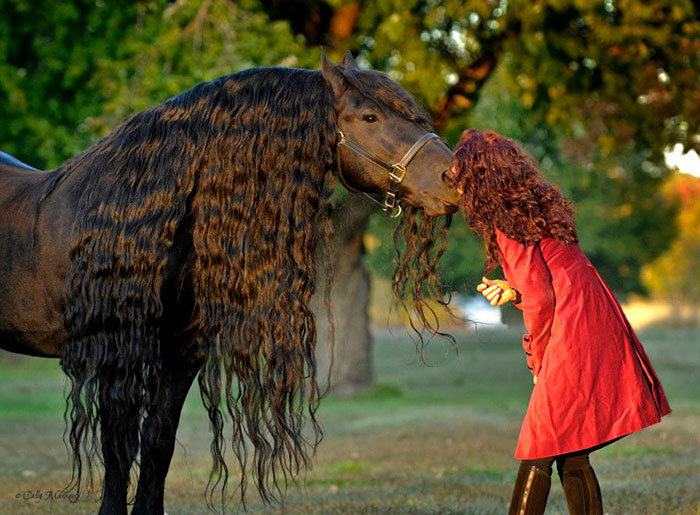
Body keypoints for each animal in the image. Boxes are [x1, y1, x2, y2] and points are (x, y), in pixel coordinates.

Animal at [0, 52, 458, 514]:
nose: (452, 176)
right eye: (369, 116)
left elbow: (157, 444)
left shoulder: (180, 353)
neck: (144, 214)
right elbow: (118, 450)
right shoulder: (117, 353)